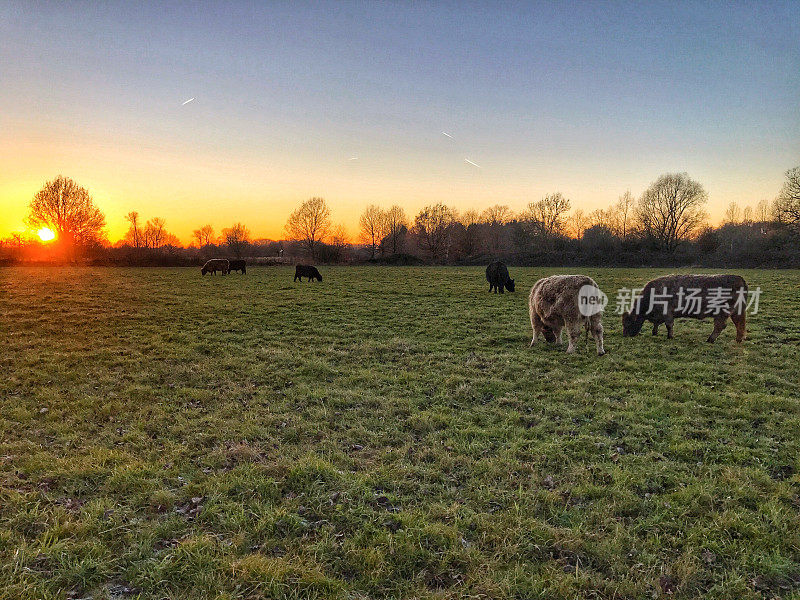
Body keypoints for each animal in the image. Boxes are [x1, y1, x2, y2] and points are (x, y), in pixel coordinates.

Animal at [620, 274, 748, 342]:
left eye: (628, 323)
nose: (624, 335)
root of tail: (738, 278)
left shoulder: (668, 314)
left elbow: (669, 325)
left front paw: (670, 336)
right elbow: (657, 325)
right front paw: (654, 333)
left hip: (721, 312)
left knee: (720, 326)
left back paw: (710, 340)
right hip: (736, 312)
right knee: (739, 324)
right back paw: (738, 339)